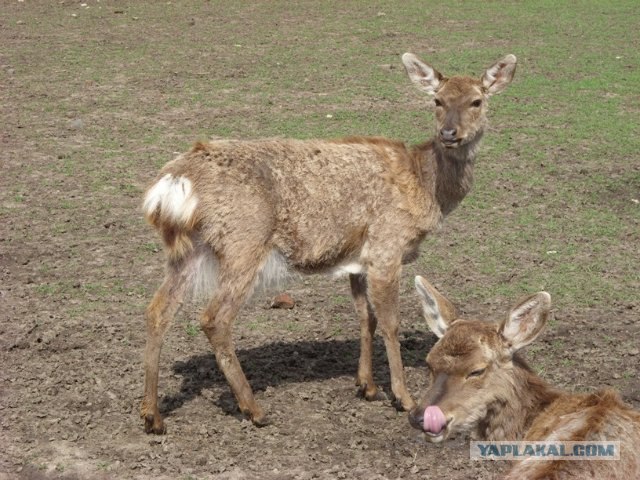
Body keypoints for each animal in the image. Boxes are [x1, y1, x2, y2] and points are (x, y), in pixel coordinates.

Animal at [139, 50, 516, 434]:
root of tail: (172, 183)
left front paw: (367, 386)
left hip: (189, 249)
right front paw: (403, 398)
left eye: (476, 100)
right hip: (243, 242)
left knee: (158, 310)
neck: (427, 188)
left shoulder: (359, 257)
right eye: (437, 100)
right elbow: (390, 322)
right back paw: (253, 408)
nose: (449, 133)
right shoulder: (387, 245)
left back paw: (152, 415)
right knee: (214, 318)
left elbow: (365, 317)